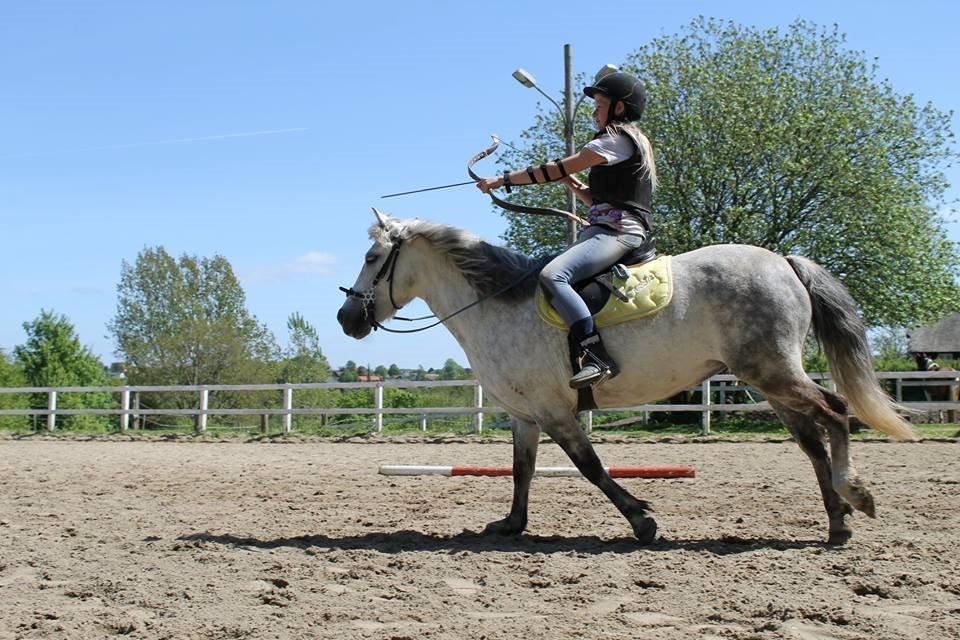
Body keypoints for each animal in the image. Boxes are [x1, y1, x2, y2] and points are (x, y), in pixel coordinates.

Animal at [337, 212, 916, 545]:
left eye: (372, 257)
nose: (347, 318)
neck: (498, 305)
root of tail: (784, 262)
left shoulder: (556, 412)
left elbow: (590, 467)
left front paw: (642, 520)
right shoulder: (525, 414)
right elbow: (522, 470)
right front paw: (510, 526)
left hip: (773, 373)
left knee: (835, 413)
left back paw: (854, 494)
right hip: (770, 382)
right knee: (812, 442)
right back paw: (837, 521)